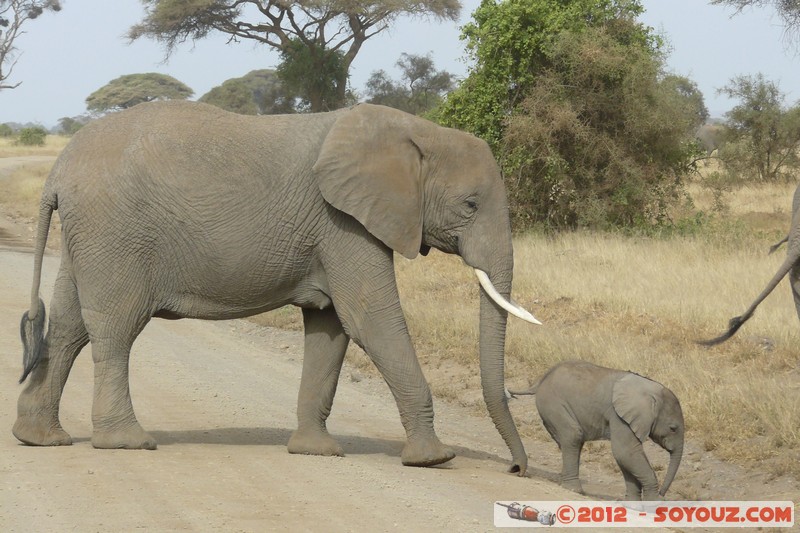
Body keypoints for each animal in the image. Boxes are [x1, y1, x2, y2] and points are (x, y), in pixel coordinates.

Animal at [14, 102, 536, 472]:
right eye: (470, 205)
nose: (517, 469)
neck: (417, 131)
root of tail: (57, 172)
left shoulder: (336, 231)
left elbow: (330, 327)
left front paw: (316, 452)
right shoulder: (344, 224)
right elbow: (370, 320)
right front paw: (434, 458)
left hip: (88, 237)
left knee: (68, 326)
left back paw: (39, 438)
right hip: (114, 234)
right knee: (116, 329)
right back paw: (127, 443)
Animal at [510, 360, 684, 500]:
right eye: (673, 428)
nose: (662, 494)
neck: (652, 391)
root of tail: (541, 380)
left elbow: (626, 456)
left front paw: (633, 504)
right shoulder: (619, 416)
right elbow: (625, 452)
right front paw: (655, 503)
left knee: (573, 442)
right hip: (553, 403)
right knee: (573, 436)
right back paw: (574, 490)